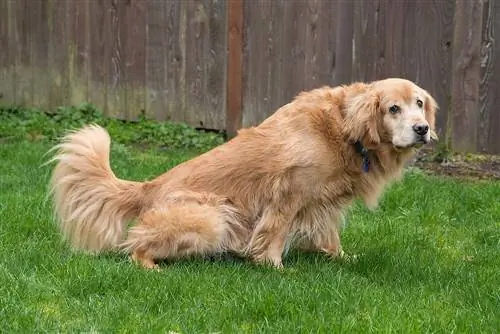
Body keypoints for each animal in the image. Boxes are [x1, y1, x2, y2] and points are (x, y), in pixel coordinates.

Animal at [47, 77, 438, 268]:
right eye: (393, 108)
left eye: (419, 104)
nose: (422, 129)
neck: (343, 128)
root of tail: (149, 187)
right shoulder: (289, 193)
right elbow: (275, 233)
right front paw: (273, 266)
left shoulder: (323, 202)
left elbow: (328, 235)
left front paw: (340, 258)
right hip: (213, 217)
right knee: (135, 246)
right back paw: (152, 266)